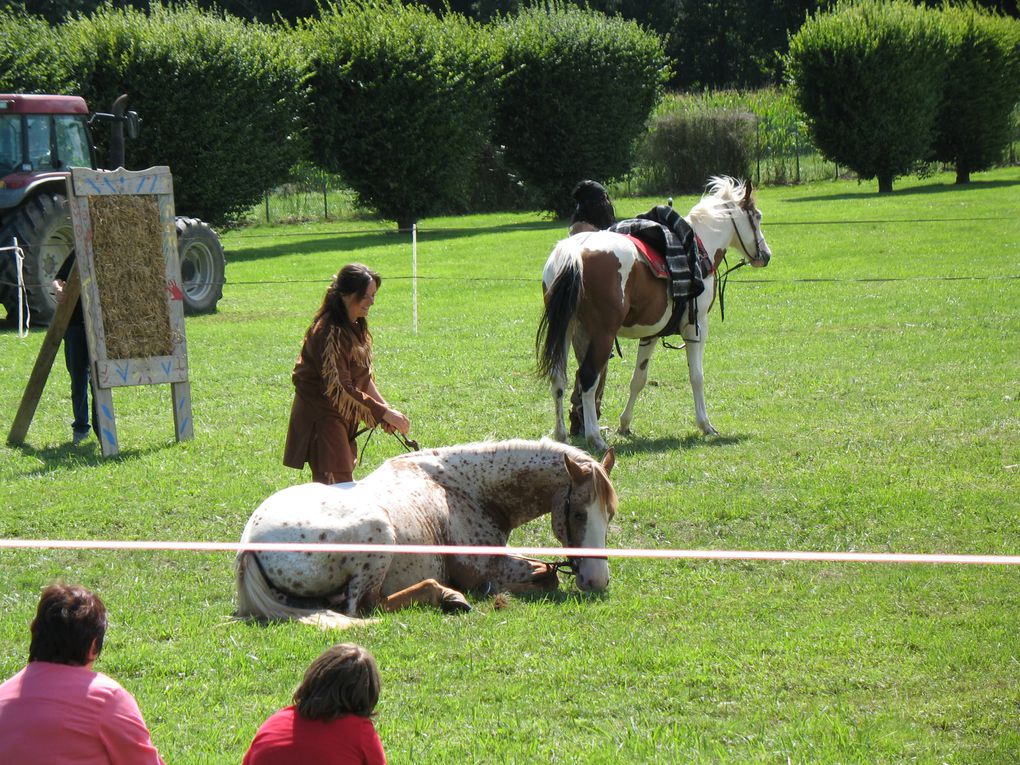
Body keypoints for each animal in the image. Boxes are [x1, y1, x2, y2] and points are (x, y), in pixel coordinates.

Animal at [235, 436, 616, 628]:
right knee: (366, 606)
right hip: (379, 534)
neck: (463, 489)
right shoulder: (485, 565)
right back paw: (447, 595)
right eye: (578, 513)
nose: (596, 580)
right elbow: (546, 576)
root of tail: (250, 540)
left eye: (609, 514)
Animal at [538, 176, 767, 452]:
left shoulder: (651, 333)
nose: (766, 255)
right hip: (602, 334)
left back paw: (561, 434)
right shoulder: (696, 327)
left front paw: (625, 424)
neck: (699, 247)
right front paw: (705, 425)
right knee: (588, 377)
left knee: (558, 377)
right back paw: (595, 437)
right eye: (757, 217)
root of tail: (573, 252)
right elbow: (696, 376)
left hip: (567, 329)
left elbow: (639, 378)